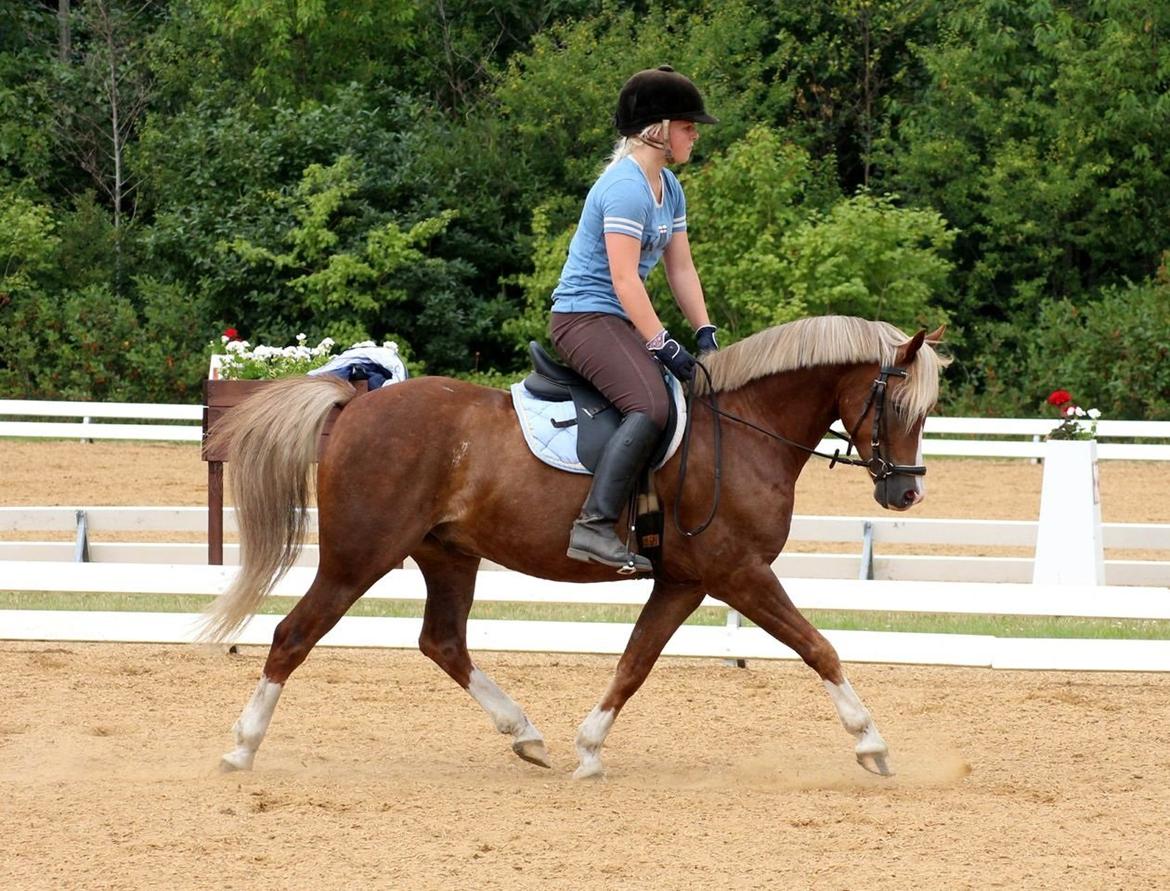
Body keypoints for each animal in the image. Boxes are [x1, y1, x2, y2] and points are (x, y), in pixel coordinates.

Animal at [202, 315, 945, 779]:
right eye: (899, 407)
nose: (905, 493)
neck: (744, 428)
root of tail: (354, 404)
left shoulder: (686, 581)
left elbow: (635, 662)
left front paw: (588, 748)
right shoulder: (739, 571)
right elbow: (818, 646)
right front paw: (871, 743)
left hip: (447, 554)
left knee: (443, 641)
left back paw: (526, 734)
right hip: (360, 554)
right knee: (294, 634)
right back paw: (240, 748)